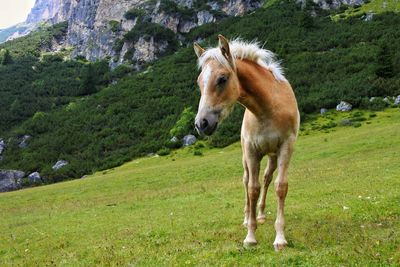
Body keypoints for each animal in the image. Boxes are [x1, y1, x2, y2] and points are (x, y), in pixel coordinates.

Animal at [192, 34, 298, 250]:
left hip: (272, 157)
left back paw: (261, 214)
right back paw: (248, 216)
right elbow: (252, 189)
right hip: (246, 158)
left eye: (222, 79)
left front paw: (280, 238)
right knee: (247, 181)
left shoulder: (286, 147)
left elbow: (280, 187)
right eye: (199, 82)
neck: (268, 109)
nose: (201, 124)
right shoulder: (251, 151)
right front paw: (250, 236)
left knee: (267, 179)